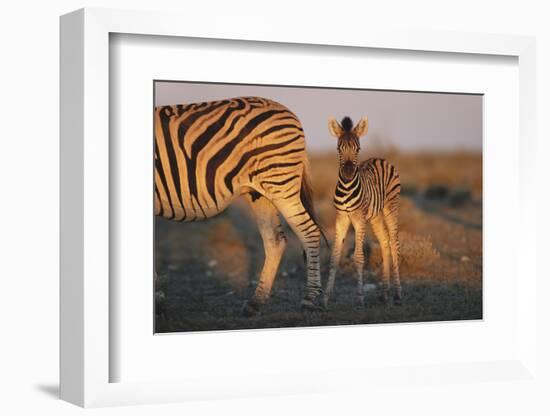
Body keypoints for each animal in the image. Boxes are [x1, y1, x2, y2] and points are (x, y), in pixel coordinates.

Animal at [326, 115, 404, 308]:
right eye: (339, 148)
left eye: (358, 148)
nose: (347, 173)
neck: (347, 188)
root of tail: (381, 158)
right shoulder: (341, 218)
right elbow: (334, 258)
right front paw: (325, 299)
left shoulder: (358, 219)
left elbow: (359, 257)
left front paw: (360, 298)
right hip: (375, 216)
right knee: (384, 242)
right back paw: (384, 293)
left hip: (391, 208)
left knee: (394, 243)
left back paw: (398, 294)